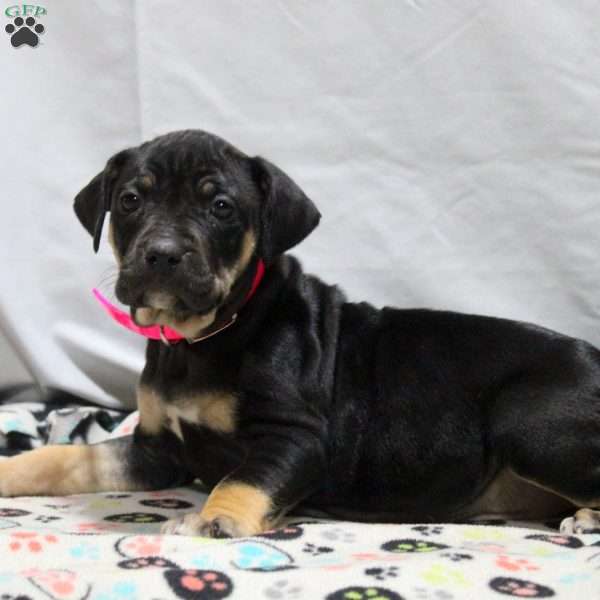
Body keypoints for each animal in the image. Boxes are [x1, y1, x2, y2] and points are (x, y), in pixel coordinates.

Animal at [1, 130, 600, 536]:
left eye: (221, 208)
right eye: (130, 199)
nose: (163, 254)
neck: (202, 338)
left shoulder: (296, 437)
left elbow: (240, 479)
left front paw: (208, 523)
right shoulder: (157, 449)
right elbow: (68, 458)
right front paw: (9, 469)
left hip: (527, 420)